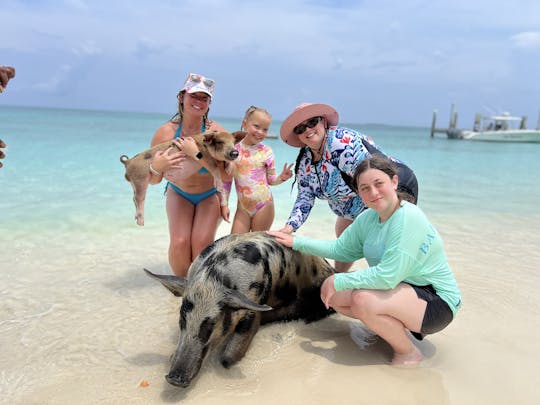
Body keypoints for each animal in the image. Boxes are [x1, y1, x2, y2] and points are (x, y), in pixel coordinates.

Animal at [146, 230, 336, 386]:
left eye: (212, 323)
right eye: (182, 319)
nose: (174, 379)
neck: (213, 279)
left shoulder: (254, 302)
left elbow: (229, 356)